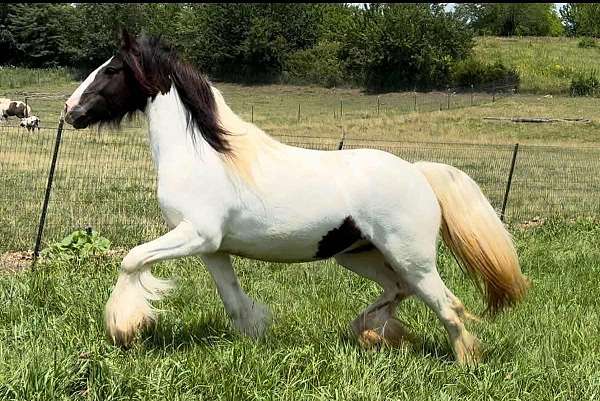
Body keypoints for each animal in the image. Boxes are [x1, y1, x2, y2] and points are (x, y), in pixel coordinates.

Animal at [63, 29, 528, 364]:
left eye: (111, 69)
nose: (70, 110)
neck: (205, 155)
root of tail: (417, 172)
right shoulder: (213, 248)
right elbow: (235, 303)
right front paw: (254, 339)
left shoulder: (195, 235)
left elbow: (131, 259)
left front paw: (124, 328)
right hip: (360, 256)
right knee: (398, 290)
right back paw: (369, 331)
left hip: (411, 257)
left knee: (447, 305)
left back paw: (465, 363)